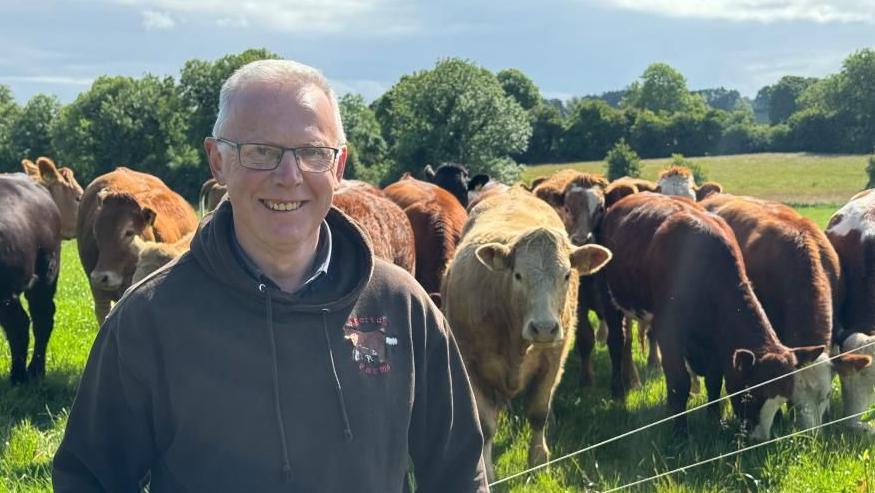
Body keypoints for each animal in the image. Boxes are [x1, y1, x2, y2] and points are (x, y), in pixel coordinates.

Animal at [442, 186, 612, 478]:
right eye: (518, 275)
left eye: (567, 275)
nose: (544, 328)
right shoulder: (470, 364)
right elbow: (485, 424)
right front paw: (487, 470)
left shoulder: (553, 359)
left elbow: (538, 412)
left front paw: (538, 460)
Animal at [600, 192, 824, 438]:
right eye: (751, 396)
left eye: (784, 400)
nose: (759, 438)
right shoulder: (669, 332)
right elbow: (679, 382)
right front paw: (680, 433)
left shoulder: (716, 341)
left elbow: (714, 379)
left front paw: (714, 419)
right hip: (609, 297)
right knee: (616, 342)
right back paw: (618, 392)